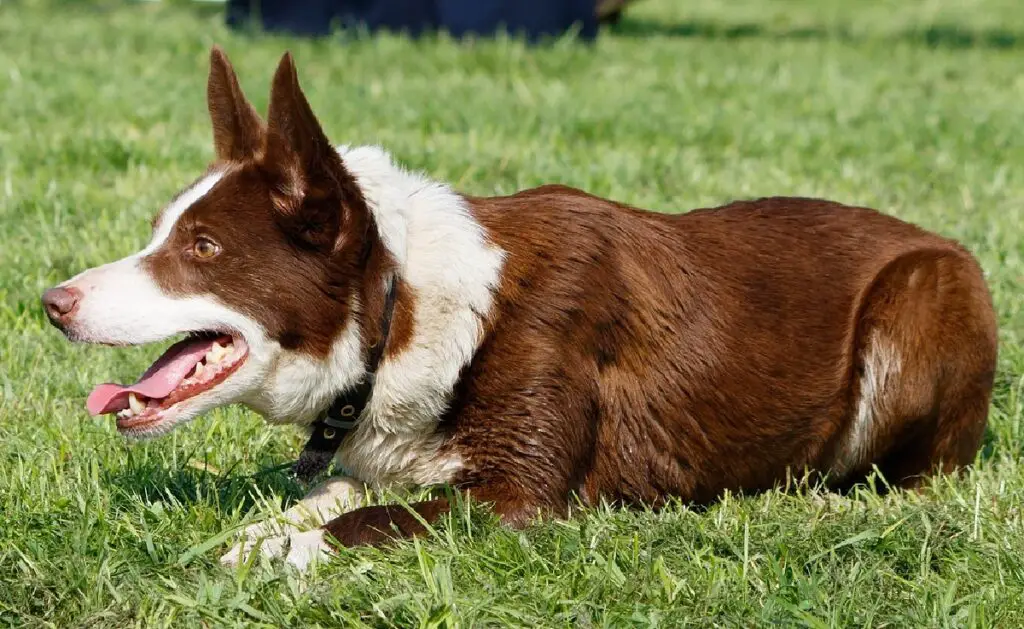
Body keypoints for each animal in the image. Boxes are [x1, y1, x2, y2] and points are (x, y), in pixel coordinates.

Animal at [44, 45, 995, 573]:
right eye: (161, 230)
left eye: (202, 247)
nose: (52, 302)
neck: (402, 307)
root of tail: (938, 237)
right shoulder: (383, 458)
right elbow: (331, 496)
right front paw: (258, 533)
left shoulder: (521, 497)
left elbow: (366, 520)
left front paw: (276, 552)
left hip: (919, 305)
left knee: (919, 474)